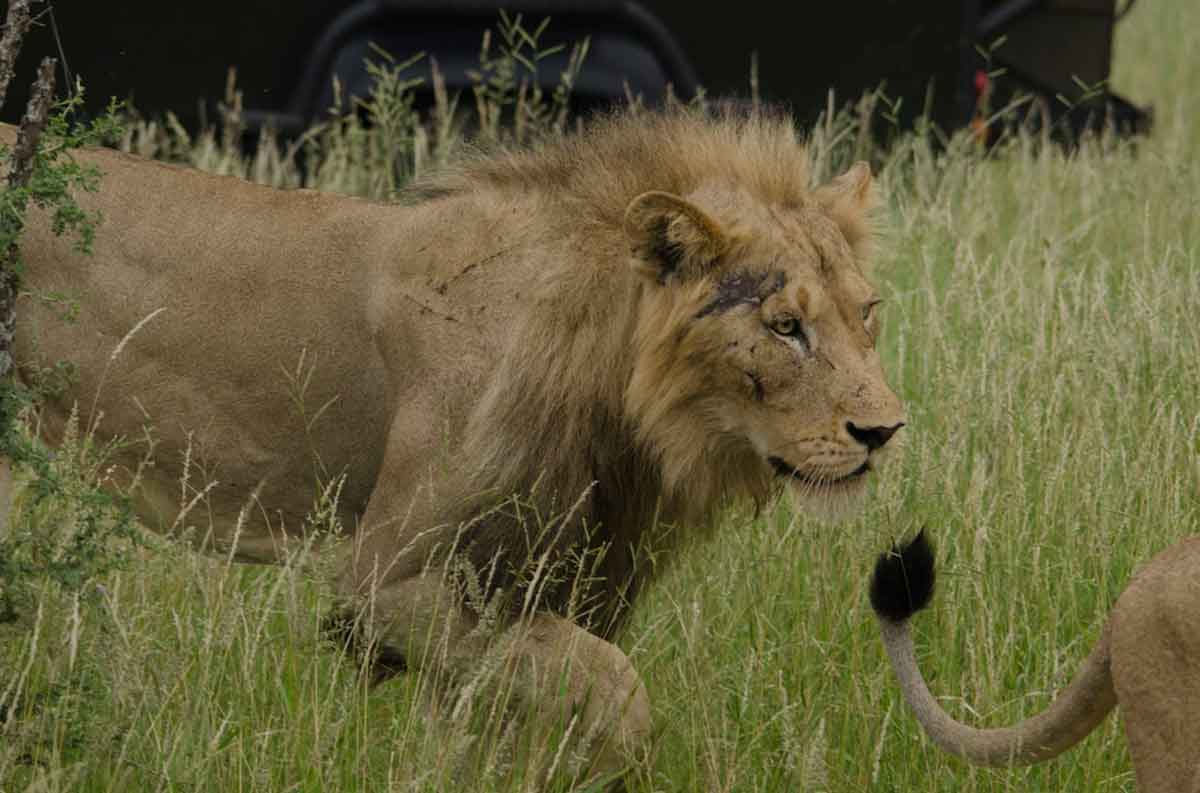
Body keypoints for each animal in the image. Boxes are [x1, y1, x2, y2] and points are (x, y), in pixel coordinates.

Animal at [4, 106, 905, 782]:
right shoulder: (380, 584)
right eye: (784, 327)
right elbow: (612, 687)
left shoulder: (568, 579)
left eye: (865, 312)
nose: (884, 431)